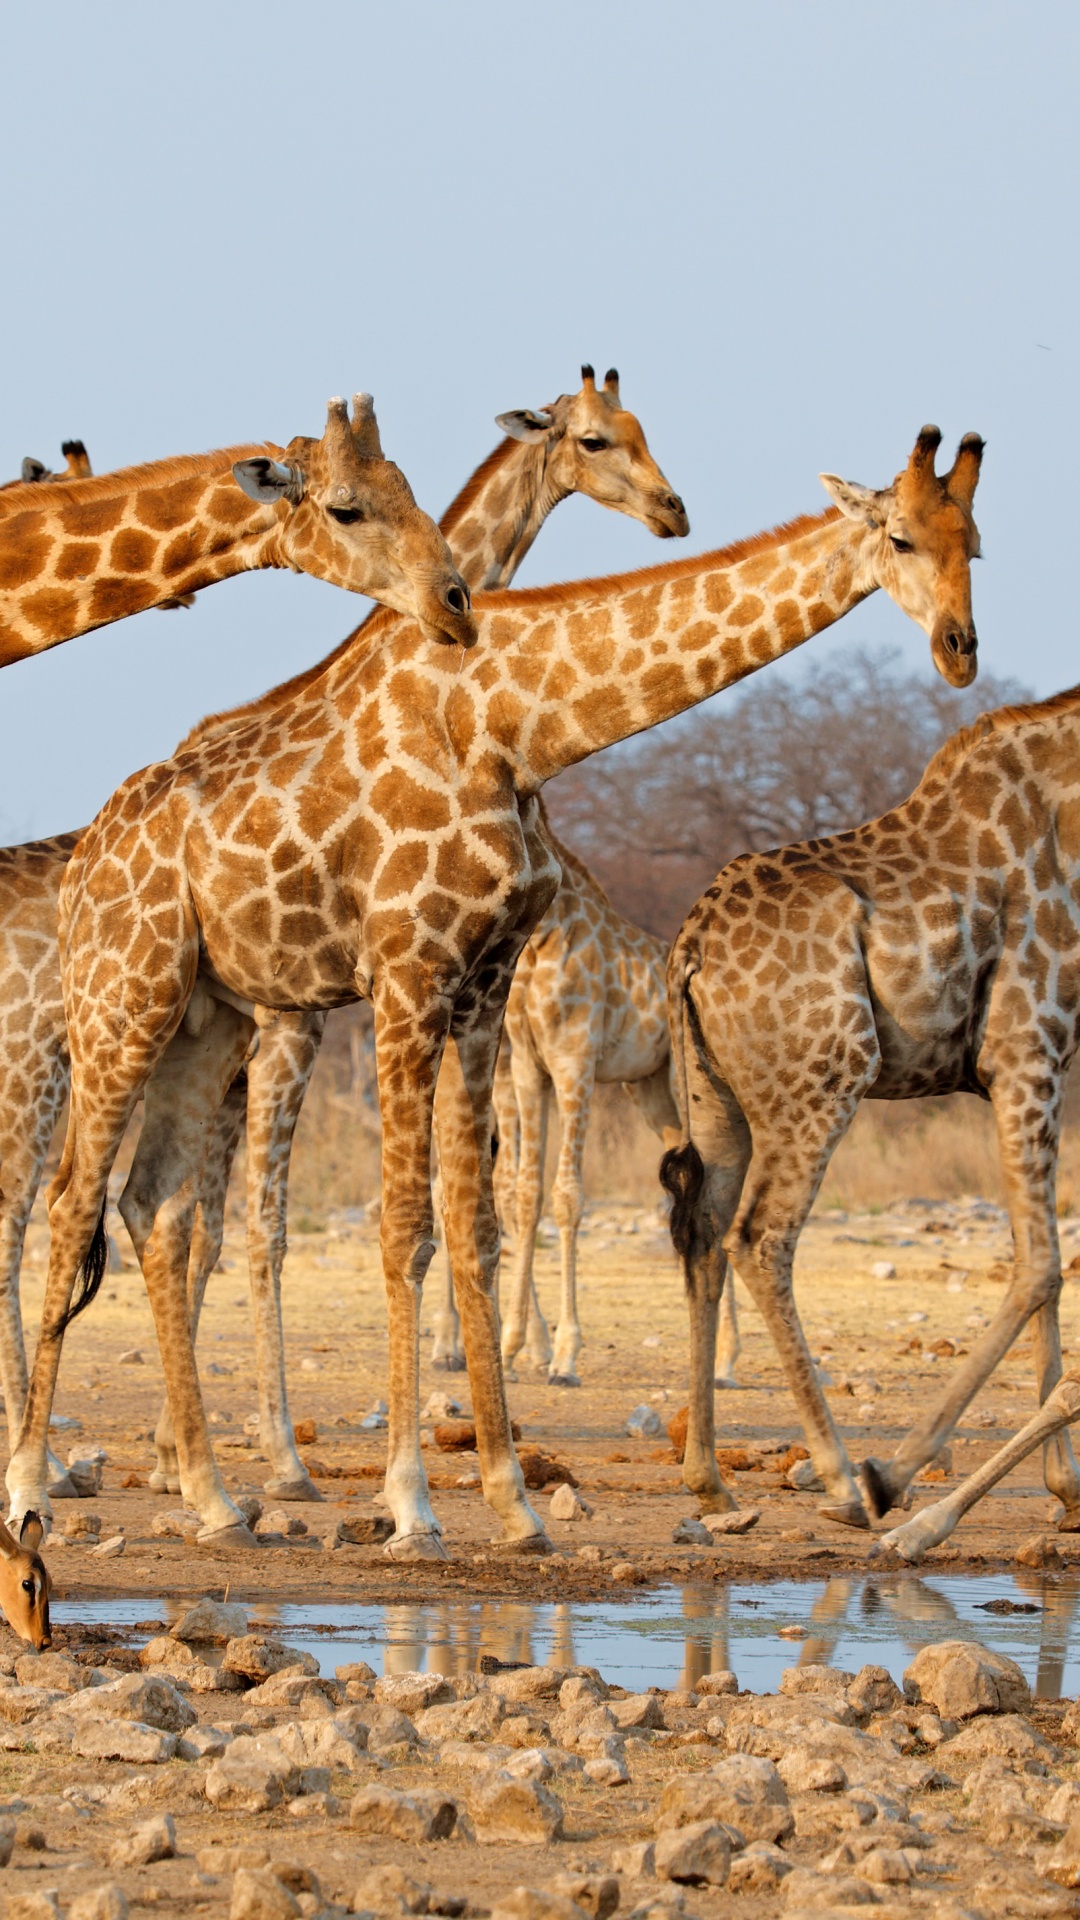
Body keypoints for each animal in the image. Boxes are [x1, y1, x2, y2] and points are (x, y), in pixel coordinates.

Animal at [659, 669, 1080, 1536]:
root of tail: (691, 951)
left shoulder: (1036, 1065)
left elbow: (1039, 1261)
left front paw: (1066, 1488)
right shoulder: (1028, 1051)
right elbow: (1040, 1265)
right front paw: (897, 1475)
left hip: (716, 1103)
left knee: (705, 1235)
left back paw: (710, 1482)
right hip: (824, 1081)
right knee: (761, 1238)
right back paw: (843, 1479)